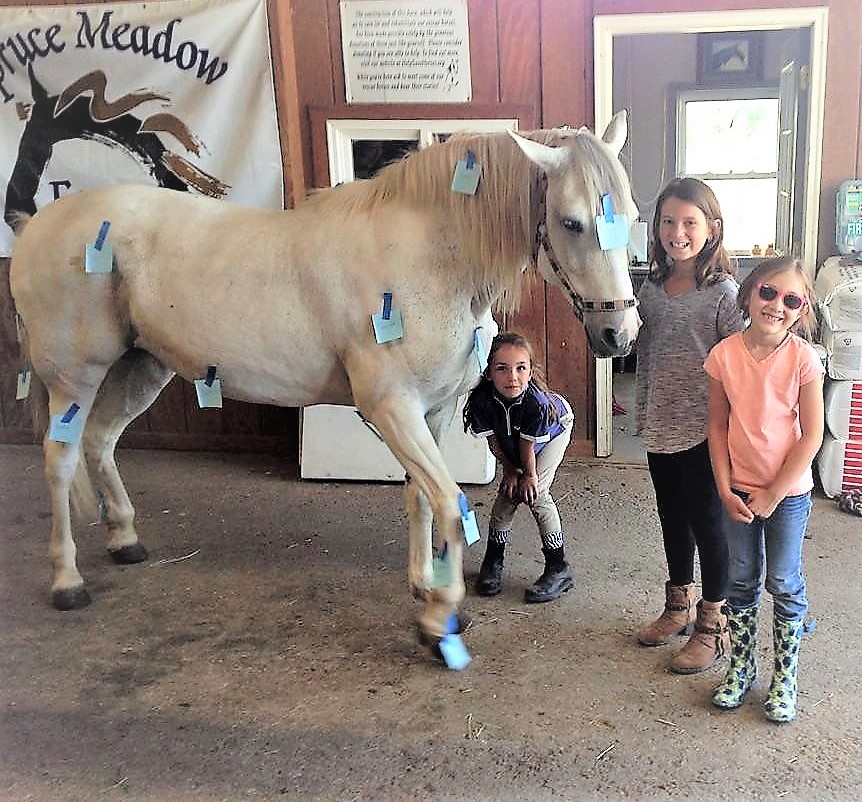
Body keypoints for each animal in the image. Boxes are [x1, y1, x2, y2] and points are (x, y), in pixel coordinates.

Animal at [9, 111, 640, 667]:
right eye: (572, 222)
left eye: (630, 215)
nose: (620, 333)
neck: (432, 257)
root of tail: (35, 225)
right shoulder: (392, 409)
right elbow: (447, 501)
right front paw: (438, 622)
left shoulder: (430, 411)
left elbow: (419, 498)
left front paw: (422, 585)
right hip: (74, 378)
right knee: (60, 461)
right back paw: (67, 580)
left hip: (142, 368)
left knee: (100, 443)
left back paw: (124, 540)